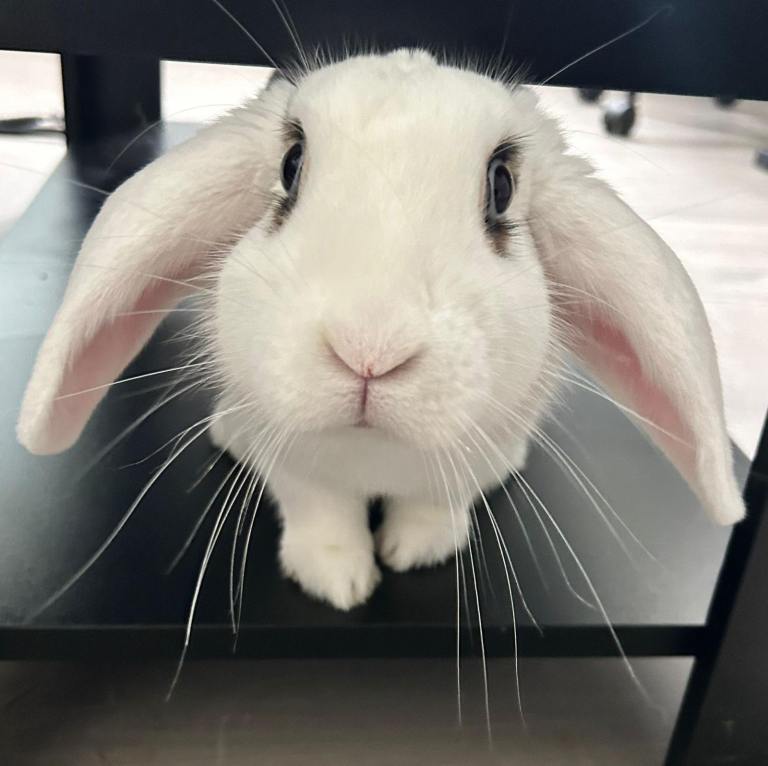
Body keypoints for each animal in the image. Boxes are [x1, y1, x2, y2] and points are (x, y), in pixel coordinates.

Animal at [16, 49, 745, 611]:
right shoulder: (295, 464)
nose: (368, 350)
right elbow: (320, 512)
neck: (373, 453)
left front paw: (413, 550)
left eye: (502, 186)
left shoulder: (469, 456)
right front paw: (339, 581)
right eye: (290, 166)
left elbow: (435, 505)